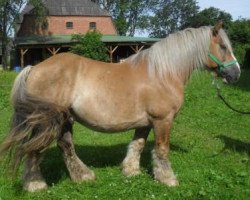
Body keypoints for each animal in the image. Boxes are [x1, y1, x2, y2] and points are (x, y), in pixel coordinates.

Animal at [0, 22, 242, 191]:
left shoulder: (145, 122)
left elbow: (137, 145)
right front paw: (168, 179)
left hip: (64, 119)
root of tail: (34, 68)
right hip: (46, 121)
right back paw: (35, 184)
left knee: (65, 146)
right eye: (223, 46)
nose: (236, 74)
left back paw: (83, 176)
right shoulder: (163, 120)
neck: (162, 73)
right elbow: (161, 149)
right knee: (34, 149)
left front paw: (131, 171)